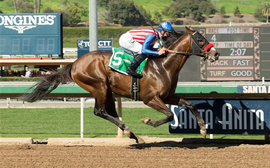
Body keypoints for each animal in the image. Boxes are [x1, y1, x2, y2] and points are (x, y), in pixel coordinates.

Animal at [20, 26, 219, 144]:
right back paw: (130, 131)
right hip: (98, 86)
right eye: (201, 40)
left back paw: (132, 134)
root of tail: (75, 63)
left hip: (107, 90)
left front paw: (202, 129)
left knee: (110, 112)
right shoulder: (150, 99)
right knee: (99, 111)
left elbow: (190, 104)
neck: (163, 65)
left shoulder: (168, 96)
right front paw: (148, 121)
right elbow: (170, 115)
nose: (216, 54)